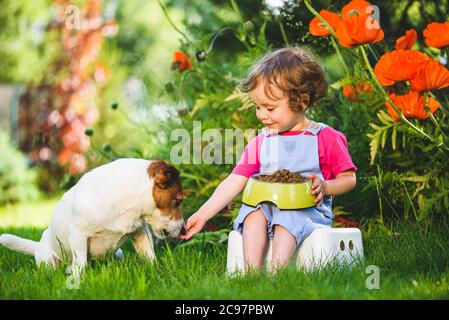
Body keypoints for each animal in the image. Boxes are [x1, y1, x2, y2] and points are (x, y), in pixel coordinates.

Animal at [0, 158, 184, 272]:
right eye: (178, 201)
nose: (183, 230)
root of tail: (38, 245)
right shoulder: (78, 235)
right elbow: (81, 263)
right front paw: (78, 280)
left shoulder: (139, 232)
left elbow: (149, 256)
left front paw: (157, 271)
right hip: (48, 259)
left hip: (118, 254)